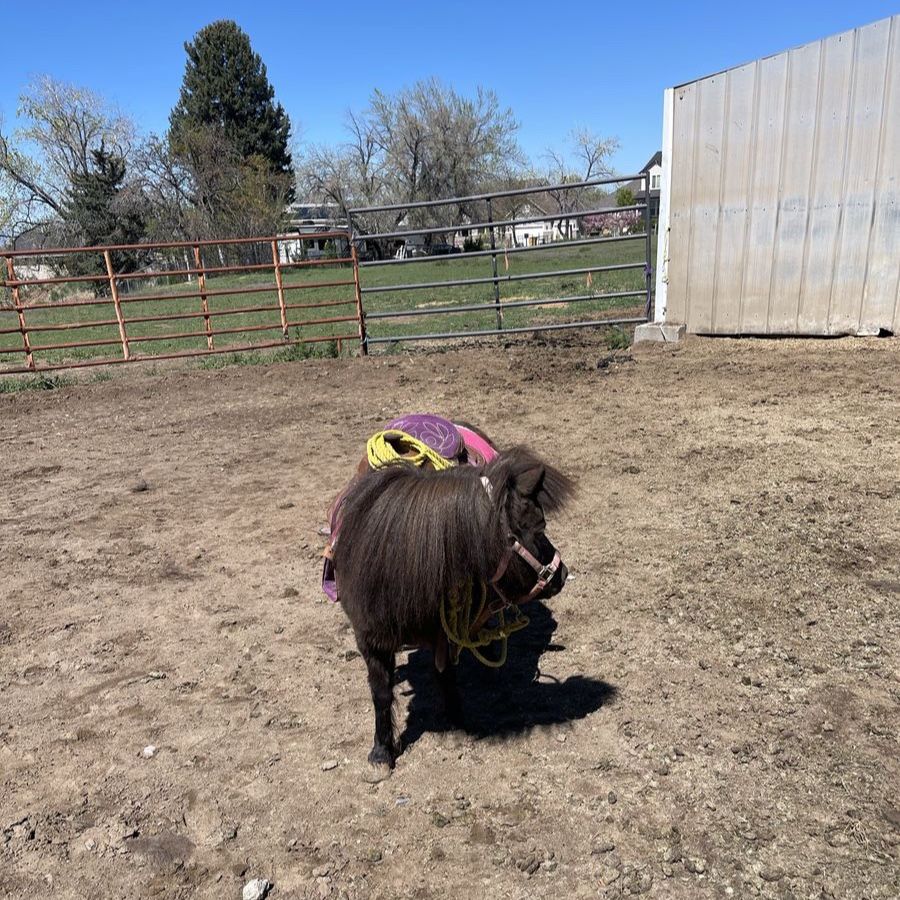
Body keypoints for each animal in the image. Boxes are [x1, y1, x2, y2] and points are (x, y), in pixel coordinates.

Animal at [332, 441, 574, 778]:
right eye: (538, 527)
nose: (562, 573)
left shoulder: (446, 629)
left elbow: (445, 674)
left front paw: (456, 720)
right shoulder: (369, 638)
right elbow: (380, 691)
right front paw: (382, 751)